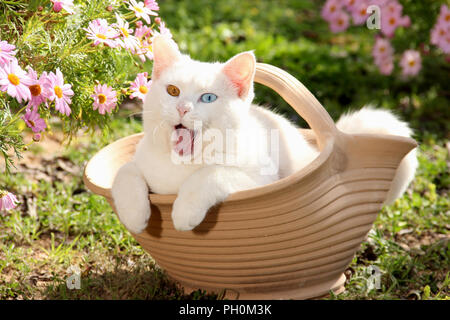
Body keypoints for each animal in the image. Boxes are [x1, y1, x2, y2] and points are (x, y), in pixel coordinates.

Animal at [110, 36, 418, 234]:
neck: (182, 163)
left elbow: (212, 173)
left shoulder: (261, 182)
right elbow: (125, 172)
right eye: (172, 91)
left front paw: (185, 211)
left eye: (208, 97)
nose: (183, 108)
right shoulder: (142, 159)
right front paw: (133, 214)